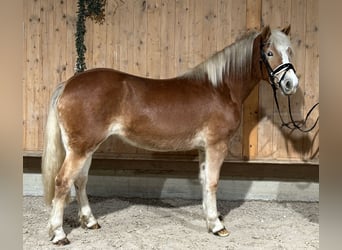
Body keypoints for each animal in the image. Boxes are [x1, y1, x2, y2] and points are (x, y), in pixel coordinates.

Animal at [42, 25, 296, 244]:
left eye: (290, 51)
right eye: (270, 53)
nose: (291, 84)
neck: (221, 88)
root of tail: (69, 83)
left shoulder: (204, 147)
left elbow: (204, 180)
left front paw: (209, 217)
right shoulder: (216, 145)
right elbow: (213, 182)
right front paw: (217, 226)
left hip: (85, 147)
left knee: (80, 180)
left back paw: (90, 221)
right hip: (80, 148)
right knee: (63, 181)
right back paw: (59, 234)